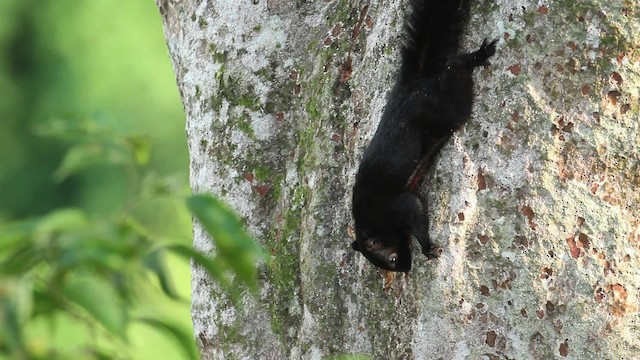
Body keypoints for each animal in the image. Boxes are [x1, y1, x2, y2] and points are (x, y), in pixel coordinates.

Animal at [350, 0, 496, 270]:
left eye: (392, 259)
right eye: (388, 264)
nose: (406, 268)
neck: (369, 221)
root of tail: (413, 84)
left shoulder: (395, 206)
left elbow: (416, 211)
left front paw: (428, 248)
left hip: (447, 106)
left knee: (457, 69)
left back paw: (477, 56)